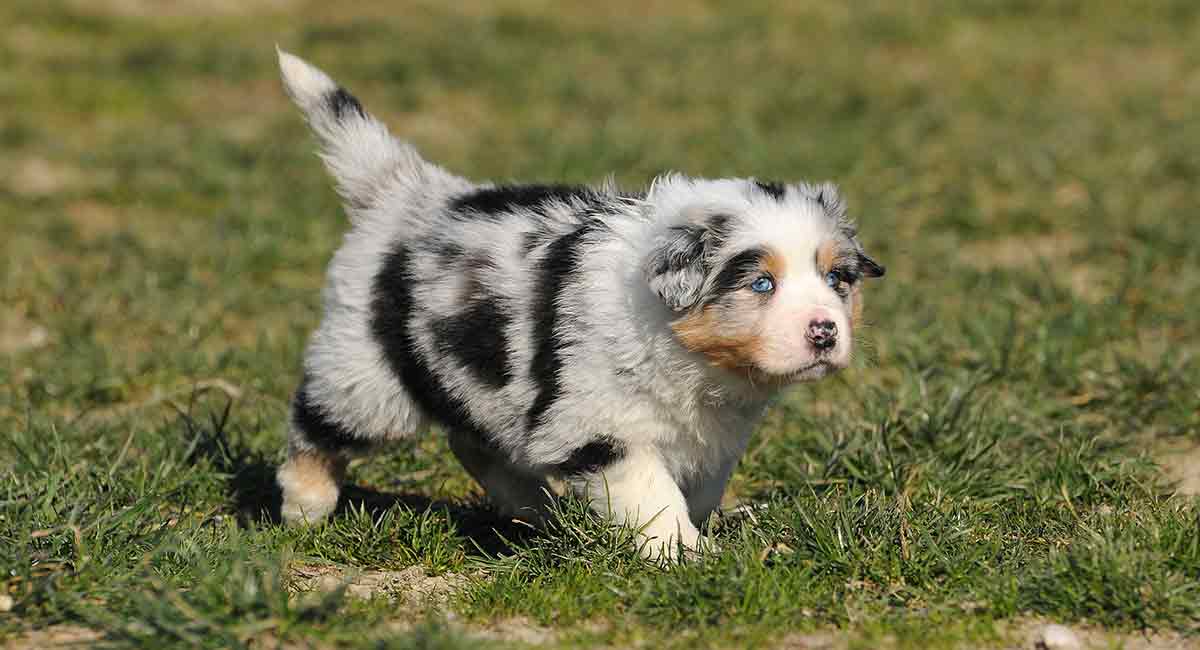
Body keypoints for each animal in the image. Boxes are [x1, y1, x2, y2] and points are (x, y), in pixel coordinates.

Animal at [276, 49, 888, 561]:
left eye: (838, 279)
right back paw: (305, 507)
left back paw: (541, 513)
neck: (691, 355)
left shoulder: (712, 438)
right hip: (368, 373)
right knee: (316, 426)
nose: (825, 333)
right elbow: (655, 496)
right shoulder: (603, 427)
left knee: (472, 441)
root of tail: (409, 194)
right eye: (761, 284)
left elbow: (698, 488)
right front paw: (689, 558)